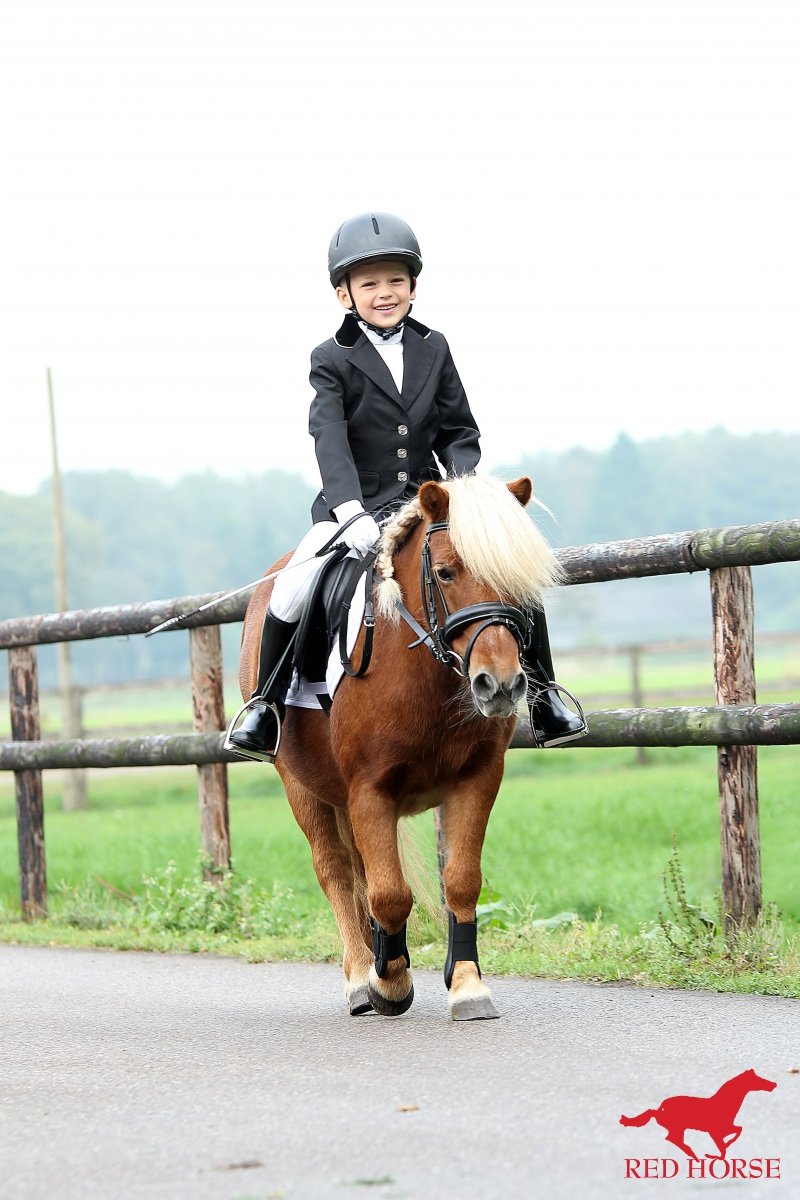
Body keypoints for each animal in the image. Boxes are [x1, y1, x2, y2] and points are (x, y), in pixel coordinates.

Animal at [238, 475, 562, 1021]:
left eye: (519, 579)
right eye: (446, 572)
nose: (498, 685)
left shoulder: (477, 778)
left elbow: (460, 880)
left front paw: (467, 985)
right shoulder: (370, 791)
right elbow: (388, 893)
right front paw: (388, 984)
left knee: (359, 872)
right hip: (300, 785)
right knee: (335, 871)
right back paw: (358, 979)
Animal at [620, 1069, 777, 1160]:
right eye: (757, 1079)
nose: (773, 1084)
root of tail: (659, 1109)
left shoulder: (725, 1128)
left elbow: (738, 1131)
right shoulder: (714, 1131)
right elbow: (724, 1144)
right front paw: (717, 1153)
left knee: (672, 1139)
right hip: (677, 1127)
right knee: (672, 1139)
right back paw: (693, 1155)